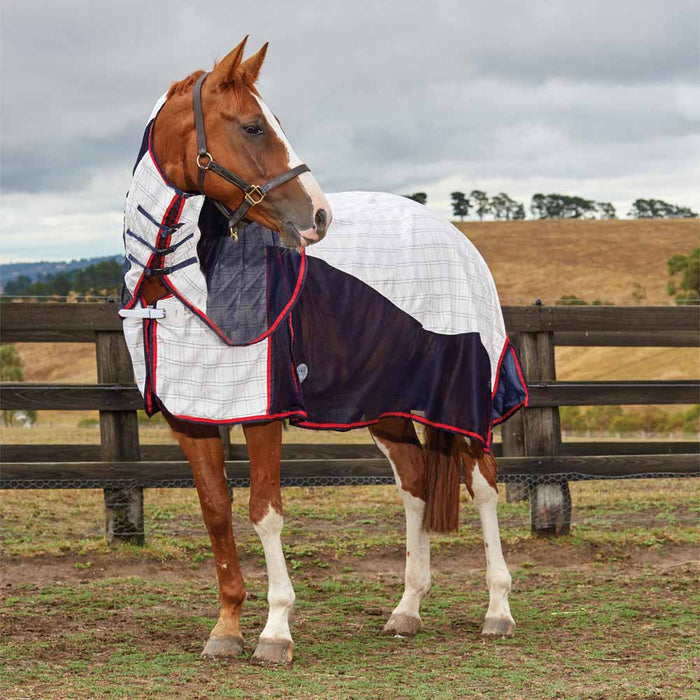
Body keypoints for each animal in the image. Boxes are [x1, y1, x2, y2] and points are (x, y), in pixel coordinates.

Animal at [122, 37, 523, 667]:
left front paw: (275, 631)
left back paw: (498, 610)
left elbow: (264, 513)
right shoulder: (192, 416)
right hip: (388, 407)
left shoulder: (264, 411)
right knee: (414, 483)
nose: (319, 216)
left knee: (482, 483)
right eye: (254, 126)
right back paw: (407, 609)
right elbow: (217, 512)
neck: (188, 288)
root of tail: (454, 235)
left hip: (463, 398)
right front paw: (226, 628)